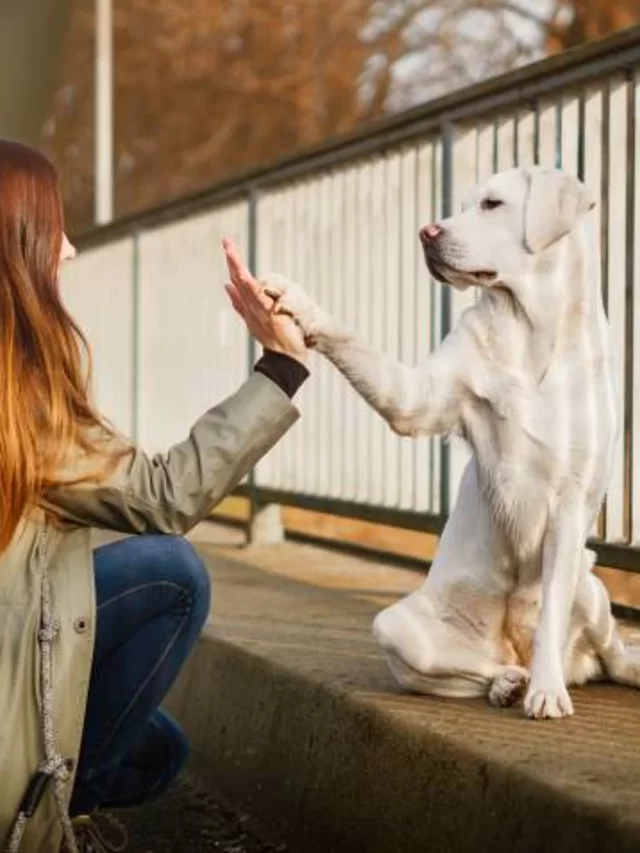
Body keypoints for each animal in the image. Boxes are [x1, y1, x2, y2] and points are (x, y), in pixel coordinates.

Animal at [262, 166, 640, 720]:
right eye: (461, 205)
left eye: (492, 204)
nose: (427, 232)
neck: (530, 334)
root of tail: (511, 645)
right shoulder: (418, 398)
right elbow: (355, 342)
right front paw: (295, 300)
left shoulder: (571, 504)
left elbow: (551, 617)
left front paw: (548, 692)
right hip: (397, 629)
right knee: (476, 669)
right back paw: (508, 682)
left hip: (589, 583)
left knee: (609, 651)